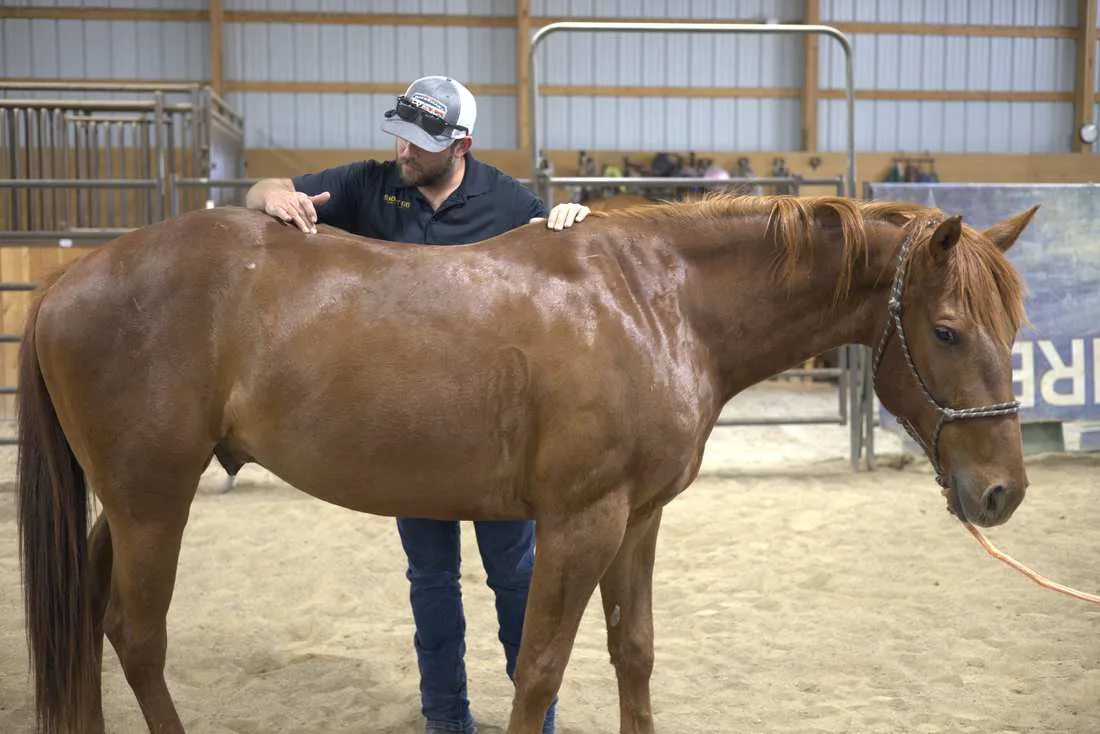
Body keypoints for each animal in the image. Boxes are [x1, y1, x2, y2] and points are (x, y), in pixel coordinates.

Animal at [14, 192, 1037, 734]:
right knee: (136, 635)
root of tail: (68, 281)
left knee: (90, 616)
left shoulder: (639, 519)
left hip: (127, 505)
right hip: (155, 504)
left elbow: (634, 650)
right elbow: (539, 664)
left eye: (1015, 326)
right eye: (948, 331)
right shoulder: (580, 522)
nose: (1002, 492)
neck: (654, 301)